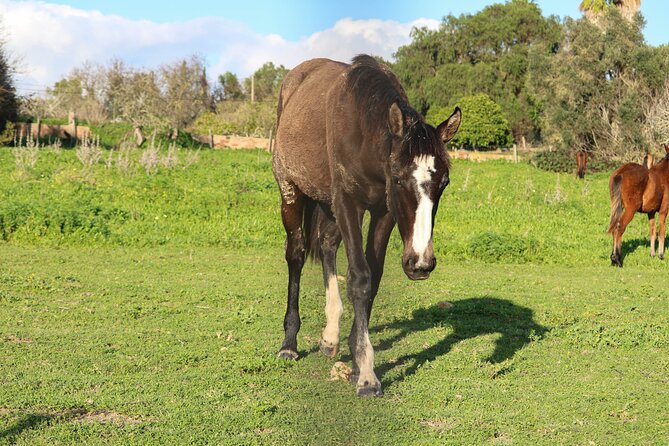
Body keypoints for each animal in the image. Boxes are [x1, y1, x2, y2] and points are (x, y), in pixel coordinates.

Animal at [272, 56, 460, 398]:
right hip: (290, 190)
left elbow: (373, 277)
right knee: (296, 253)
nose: (421, 263)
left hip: (327, 203)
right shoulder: (349, 203)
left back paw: (330, 336)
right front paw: (368, 376)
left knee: (327, 245)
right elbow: (359, 277)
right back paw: (289, 343)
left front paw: (357, 358)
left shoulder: (383, 212)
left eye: (444, 182)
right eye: (398, 178)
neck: (362, 133)